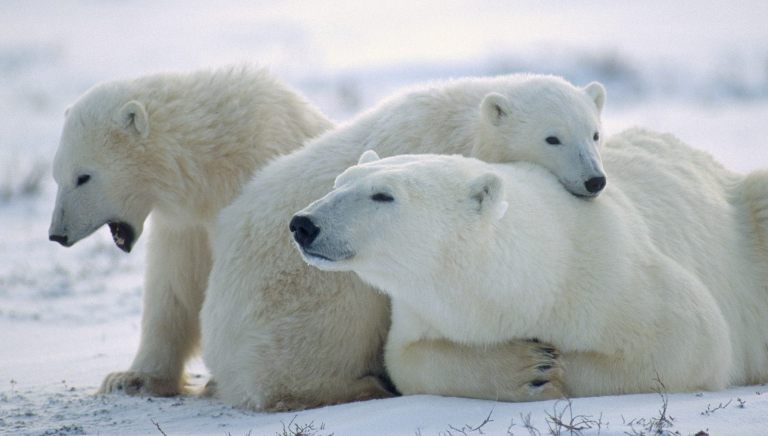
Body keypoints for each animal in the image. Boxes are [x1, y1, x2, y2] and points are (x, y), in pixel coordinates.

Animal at [48, 66, 332, 396]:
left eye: (83, 177)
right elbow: (174, 287)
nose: (57, 234)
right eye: (56, 176)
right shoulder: (185, 226)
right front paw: (131, 378)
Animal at [202, 73, 608, 410]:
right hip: (295, 297)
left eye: (594, 133)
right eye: (552, 137)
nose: (595, 180)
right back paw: (360, 387)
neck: (464, 126)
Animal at [292, 131, 768, 400]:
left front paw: (553, 369)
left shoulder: (614, 279)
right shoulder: (423, 311)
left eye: (383, 195)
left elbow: (692, 341)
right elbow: (408, 360)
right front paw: (527, 369)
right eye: (339, 182)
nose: (303, 224)